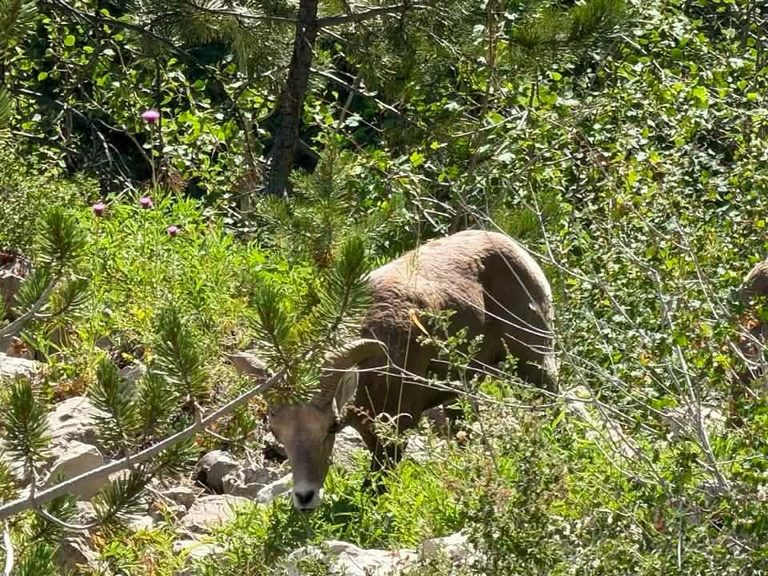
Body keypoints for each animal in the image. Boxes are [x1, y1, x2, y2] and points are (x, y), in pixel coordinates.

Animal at [234, 229, 558, 510]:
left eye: (331, 427)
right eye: (277, 431)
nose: (304, 497)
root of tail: (510, 245)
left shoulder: (397, 428)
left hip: (536, 359)